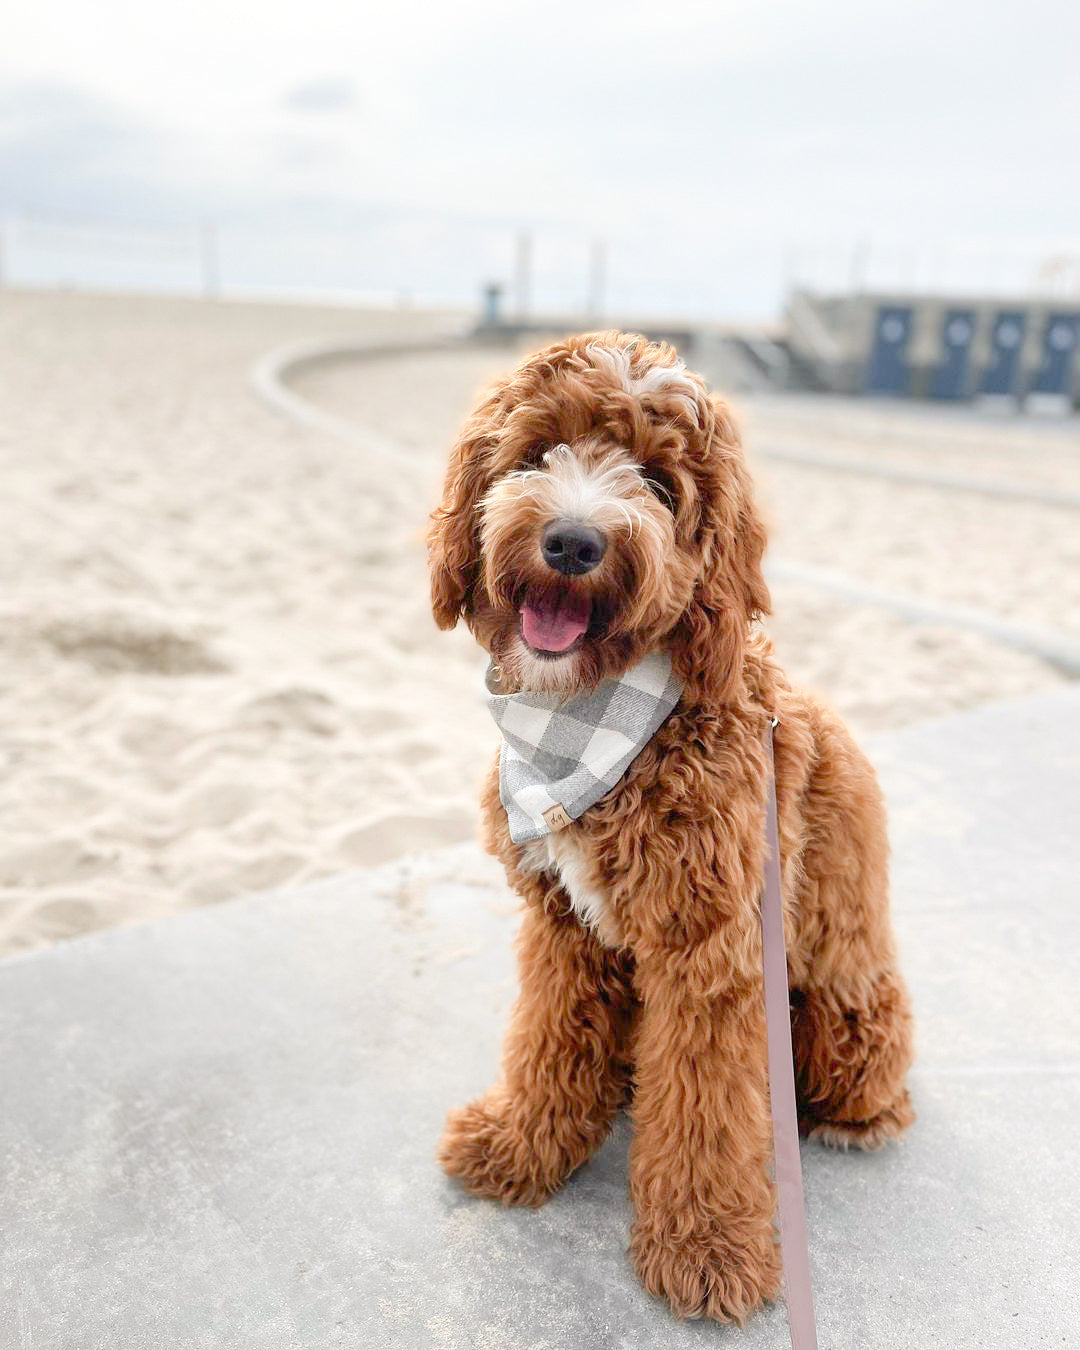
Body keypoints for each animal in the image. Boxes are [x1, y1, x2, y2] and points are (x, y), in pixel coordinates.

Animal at [426, 332, 918, 1323]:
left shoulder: (713, 952)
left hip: (843, 1016)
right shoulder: (564, 925)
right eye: (537, 452)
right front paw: (520, 1145)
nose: (573, 541)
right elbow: (548, 1040)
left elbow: (706, 1106)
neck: (593, 726)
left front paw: (707, 1245)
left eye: (658, 483)